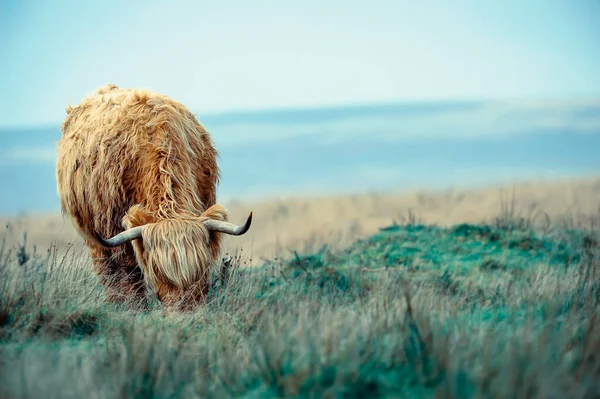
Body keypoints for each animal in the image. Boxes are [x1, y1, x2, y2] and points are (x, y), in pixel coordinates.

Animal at [55, 83, 252, 310]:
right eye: (158, 272)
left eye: (201, 270)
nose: (185, 312)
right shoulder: (116, 229)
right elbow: (128, 274)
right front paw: (135, 307)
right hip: (93, 236)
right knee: (108, 270)